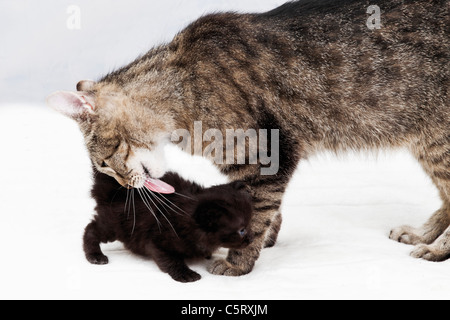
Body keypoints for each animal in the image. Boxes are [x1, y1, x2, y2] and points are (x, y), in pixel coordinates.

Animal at [83, 170, 255, 282]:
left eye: (250, 224)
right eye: (241, 230)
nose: (252, 238)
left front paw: (206, 254)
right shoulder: (158, 240)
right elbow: (171, 259)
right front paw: (185, 273)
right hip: (115, 225)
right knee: (90, 229)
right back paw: (95, 255)